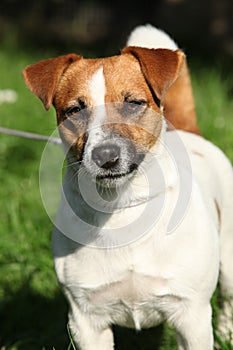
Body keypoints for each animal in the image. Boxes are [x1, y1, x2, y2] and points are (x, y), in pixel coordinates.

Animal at [22, 23, 233, 348]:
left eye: (133, 103)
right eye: (74, 111)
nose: (105, 156)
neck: (122, 207)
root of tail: (188, 131)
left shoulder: (192, 316)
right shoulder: (86, 321)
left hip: (229, 260)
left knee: (228, 300)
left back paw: (226, 332)